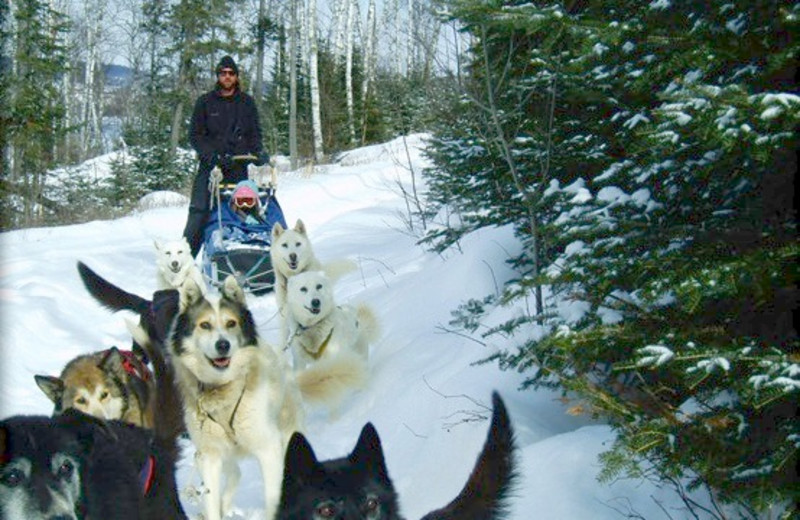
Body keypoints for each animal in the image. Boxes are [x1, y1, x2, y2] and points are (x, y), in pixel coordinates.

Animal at [169, 276, 304, 520]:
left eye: (231, 323)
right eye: (205, 325)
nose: (223, 345)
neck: (222, 389)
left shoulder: (269, 449)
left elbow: (274, 498)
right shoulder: (209, 455)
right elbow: (211, 502)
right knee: (235, 473)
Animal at [284, 270, 378, 408]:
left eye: (319, 286)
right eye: (303, 289)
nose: (316, 301)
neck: (312, 327)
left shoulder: (332, 358)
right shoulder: (299, 363)